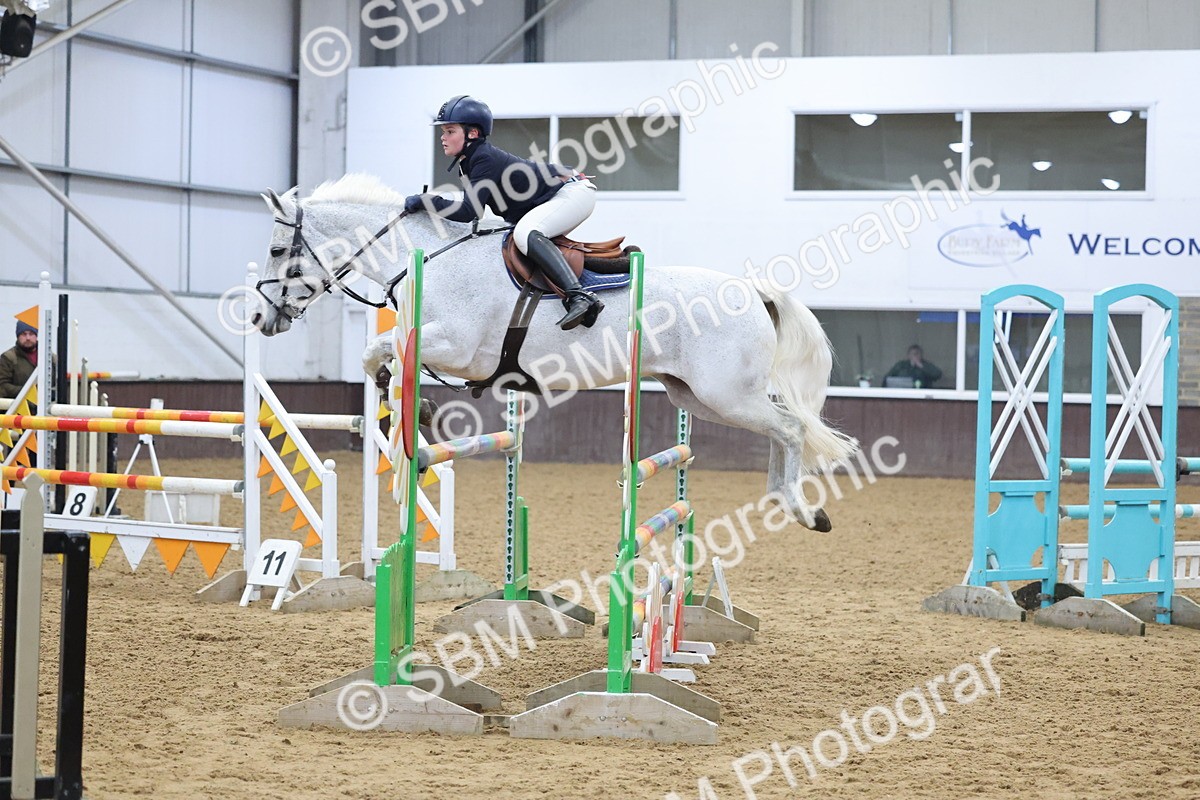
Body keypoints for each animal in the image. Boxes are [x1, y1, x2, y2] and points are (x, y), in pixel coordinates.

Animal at [252, 174, 857, 531]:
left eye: (279, 250)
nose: (260, 319)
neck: (429, 255)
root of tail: (751, 289)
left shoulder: (458, 346)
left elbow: (384, 349)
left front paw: (413, 408)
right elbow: (382, 359)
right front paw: (408, 407)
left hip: (727, 395)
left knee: (791, 429)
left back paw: (800, 508)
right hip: (700, 398)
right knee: (781, 429)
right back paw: (786, 503)